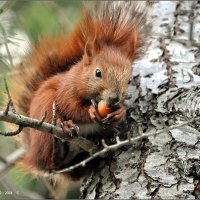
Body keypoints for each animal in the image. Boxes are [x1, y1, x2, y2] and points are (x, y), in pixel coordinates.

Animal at [17, 1, 148, 180]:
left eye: (129, 80)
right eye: (98, 73)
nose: (114, 99)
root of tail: (33, 155)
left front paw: (119, 113)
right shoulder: (66, 90)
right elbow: (71, 106)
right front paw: (90, 112)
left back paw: (103, 139)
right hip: (45, 116)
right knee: (52, 161)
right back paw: (63, 137)